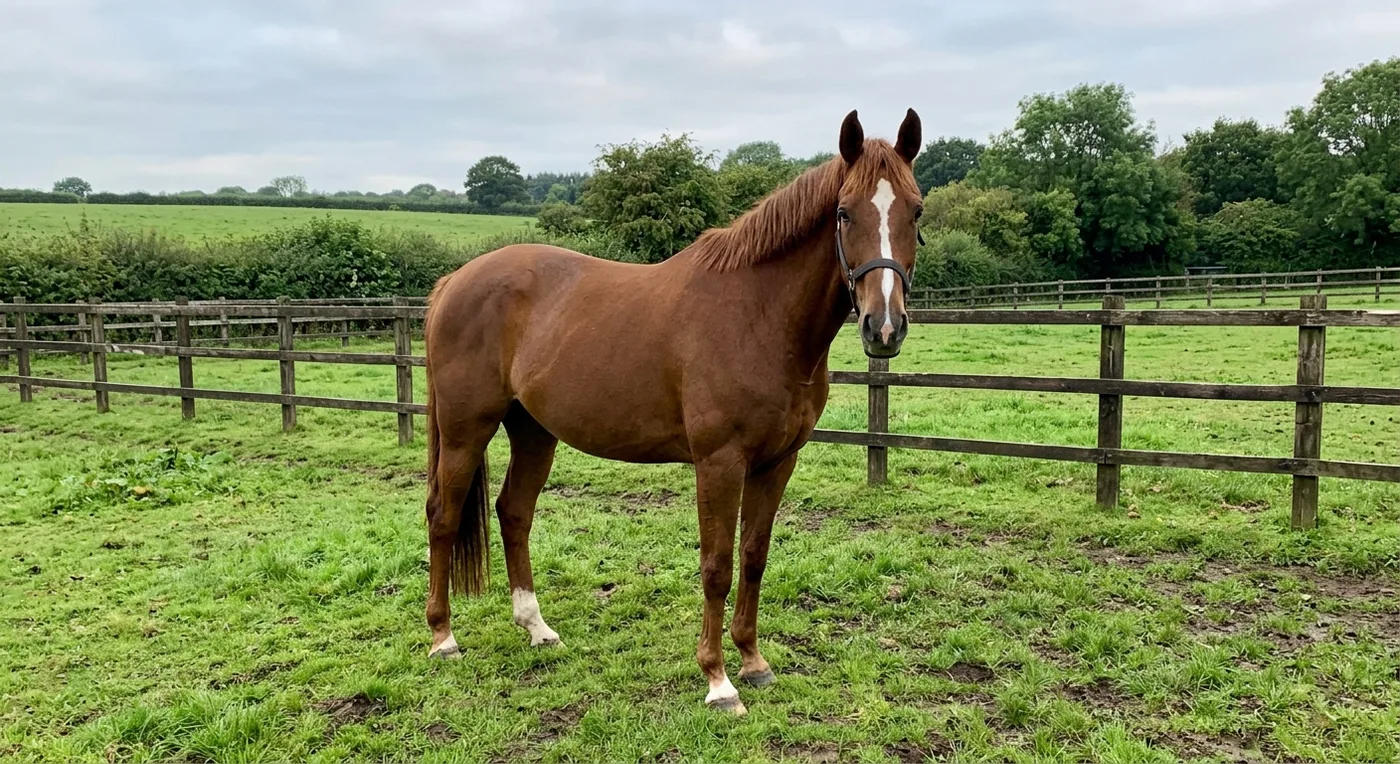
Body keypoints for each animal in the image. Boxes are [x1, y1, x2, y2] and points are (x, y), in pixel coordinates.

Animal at [421, 108, 923, 714]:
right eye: (845, 212)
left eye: (916, 210)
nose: (884, 327)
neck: (758, 315)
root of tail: (455, 281)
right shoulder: (719, 462)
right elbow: (717, 566)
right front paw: (719, 682)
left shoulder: (778, 461)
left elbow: (754, 556)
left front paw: (753, 661)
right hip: (465, 430)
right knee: (443, 516)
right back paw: (443, 638)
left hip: (534, 430)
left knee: (514, 512)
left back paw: (537, 628)